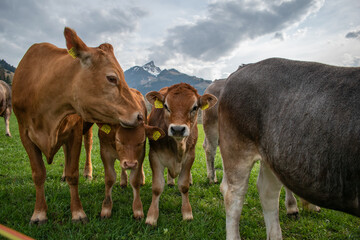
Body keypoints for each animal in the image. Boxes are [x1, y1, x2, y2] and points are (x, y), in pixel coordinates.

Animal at [11, 27, 143, 224]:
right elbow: (38, 174)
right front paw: (39, 213)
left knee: (88, 146)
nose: (140, 115)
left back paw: (87, 173)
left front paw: (78, 213)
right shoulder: (24, 133)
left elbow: (74, 174)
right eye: (112, 78)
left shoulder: (75, 129)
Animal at [144, 82, 217, 225]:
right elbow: (157, 187)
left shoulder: (190, 156)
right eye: (166, 106)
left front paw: (187, 213)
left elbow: (183, 186)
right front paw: (152, 216)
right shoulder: (154, 156)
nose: (177, 129)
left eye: (195, 107)